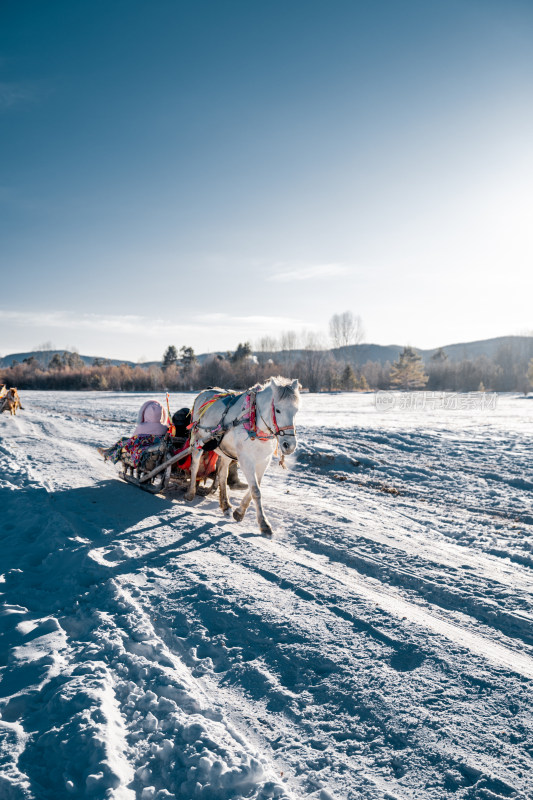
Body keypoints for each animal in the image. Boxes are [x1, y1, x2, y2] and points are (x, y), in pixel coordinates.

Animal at [185, 376, 300, 536]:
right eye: (278, 410)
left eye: (296, 410)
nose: (289, 445)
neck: (254, 422)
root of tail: (203, 393)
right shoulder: (246, 460)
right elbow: (256, 491)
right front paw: (263, 523)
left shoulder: (263, 460)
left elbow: (254, 488)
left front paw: (239, 512)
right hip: (197, 441)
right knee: (195, 466)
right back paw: (190, 493)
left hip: (225, 451)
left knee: (222, 475)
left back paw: (226, 505)